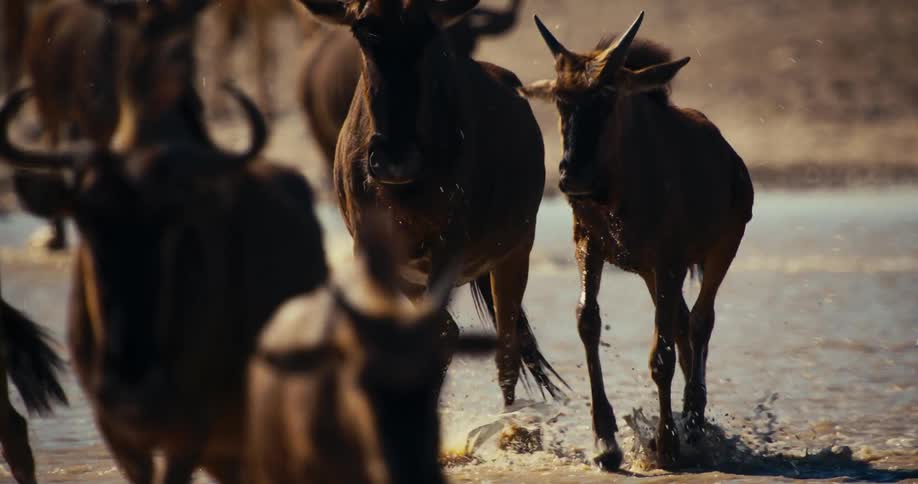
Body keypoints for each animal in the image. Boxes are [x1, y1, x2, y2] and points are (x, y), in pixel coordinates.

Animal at [298, 0, 567, 407]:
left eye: (427, 31)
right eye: (362, 30)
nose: (395, 160)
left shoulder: (448, 245)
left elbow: (442, 333)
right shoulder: (372, 248)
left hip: (515, 251)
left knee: (506, 348)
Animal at [521, 12, 754, 469]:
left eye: (609, 97)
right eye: (559, 98)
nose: (573, 176)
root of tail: (732, 159)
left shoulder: (669, 260)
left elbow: (661, 355)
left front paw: (666, 445)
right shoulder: (591, 246)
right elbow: (588, 321)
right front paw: (605, 443)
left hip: (721, 249)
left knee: (699, 321)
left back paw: (694, 424)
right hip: (651, 272)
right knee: (682, 322)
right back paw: (692, 421)